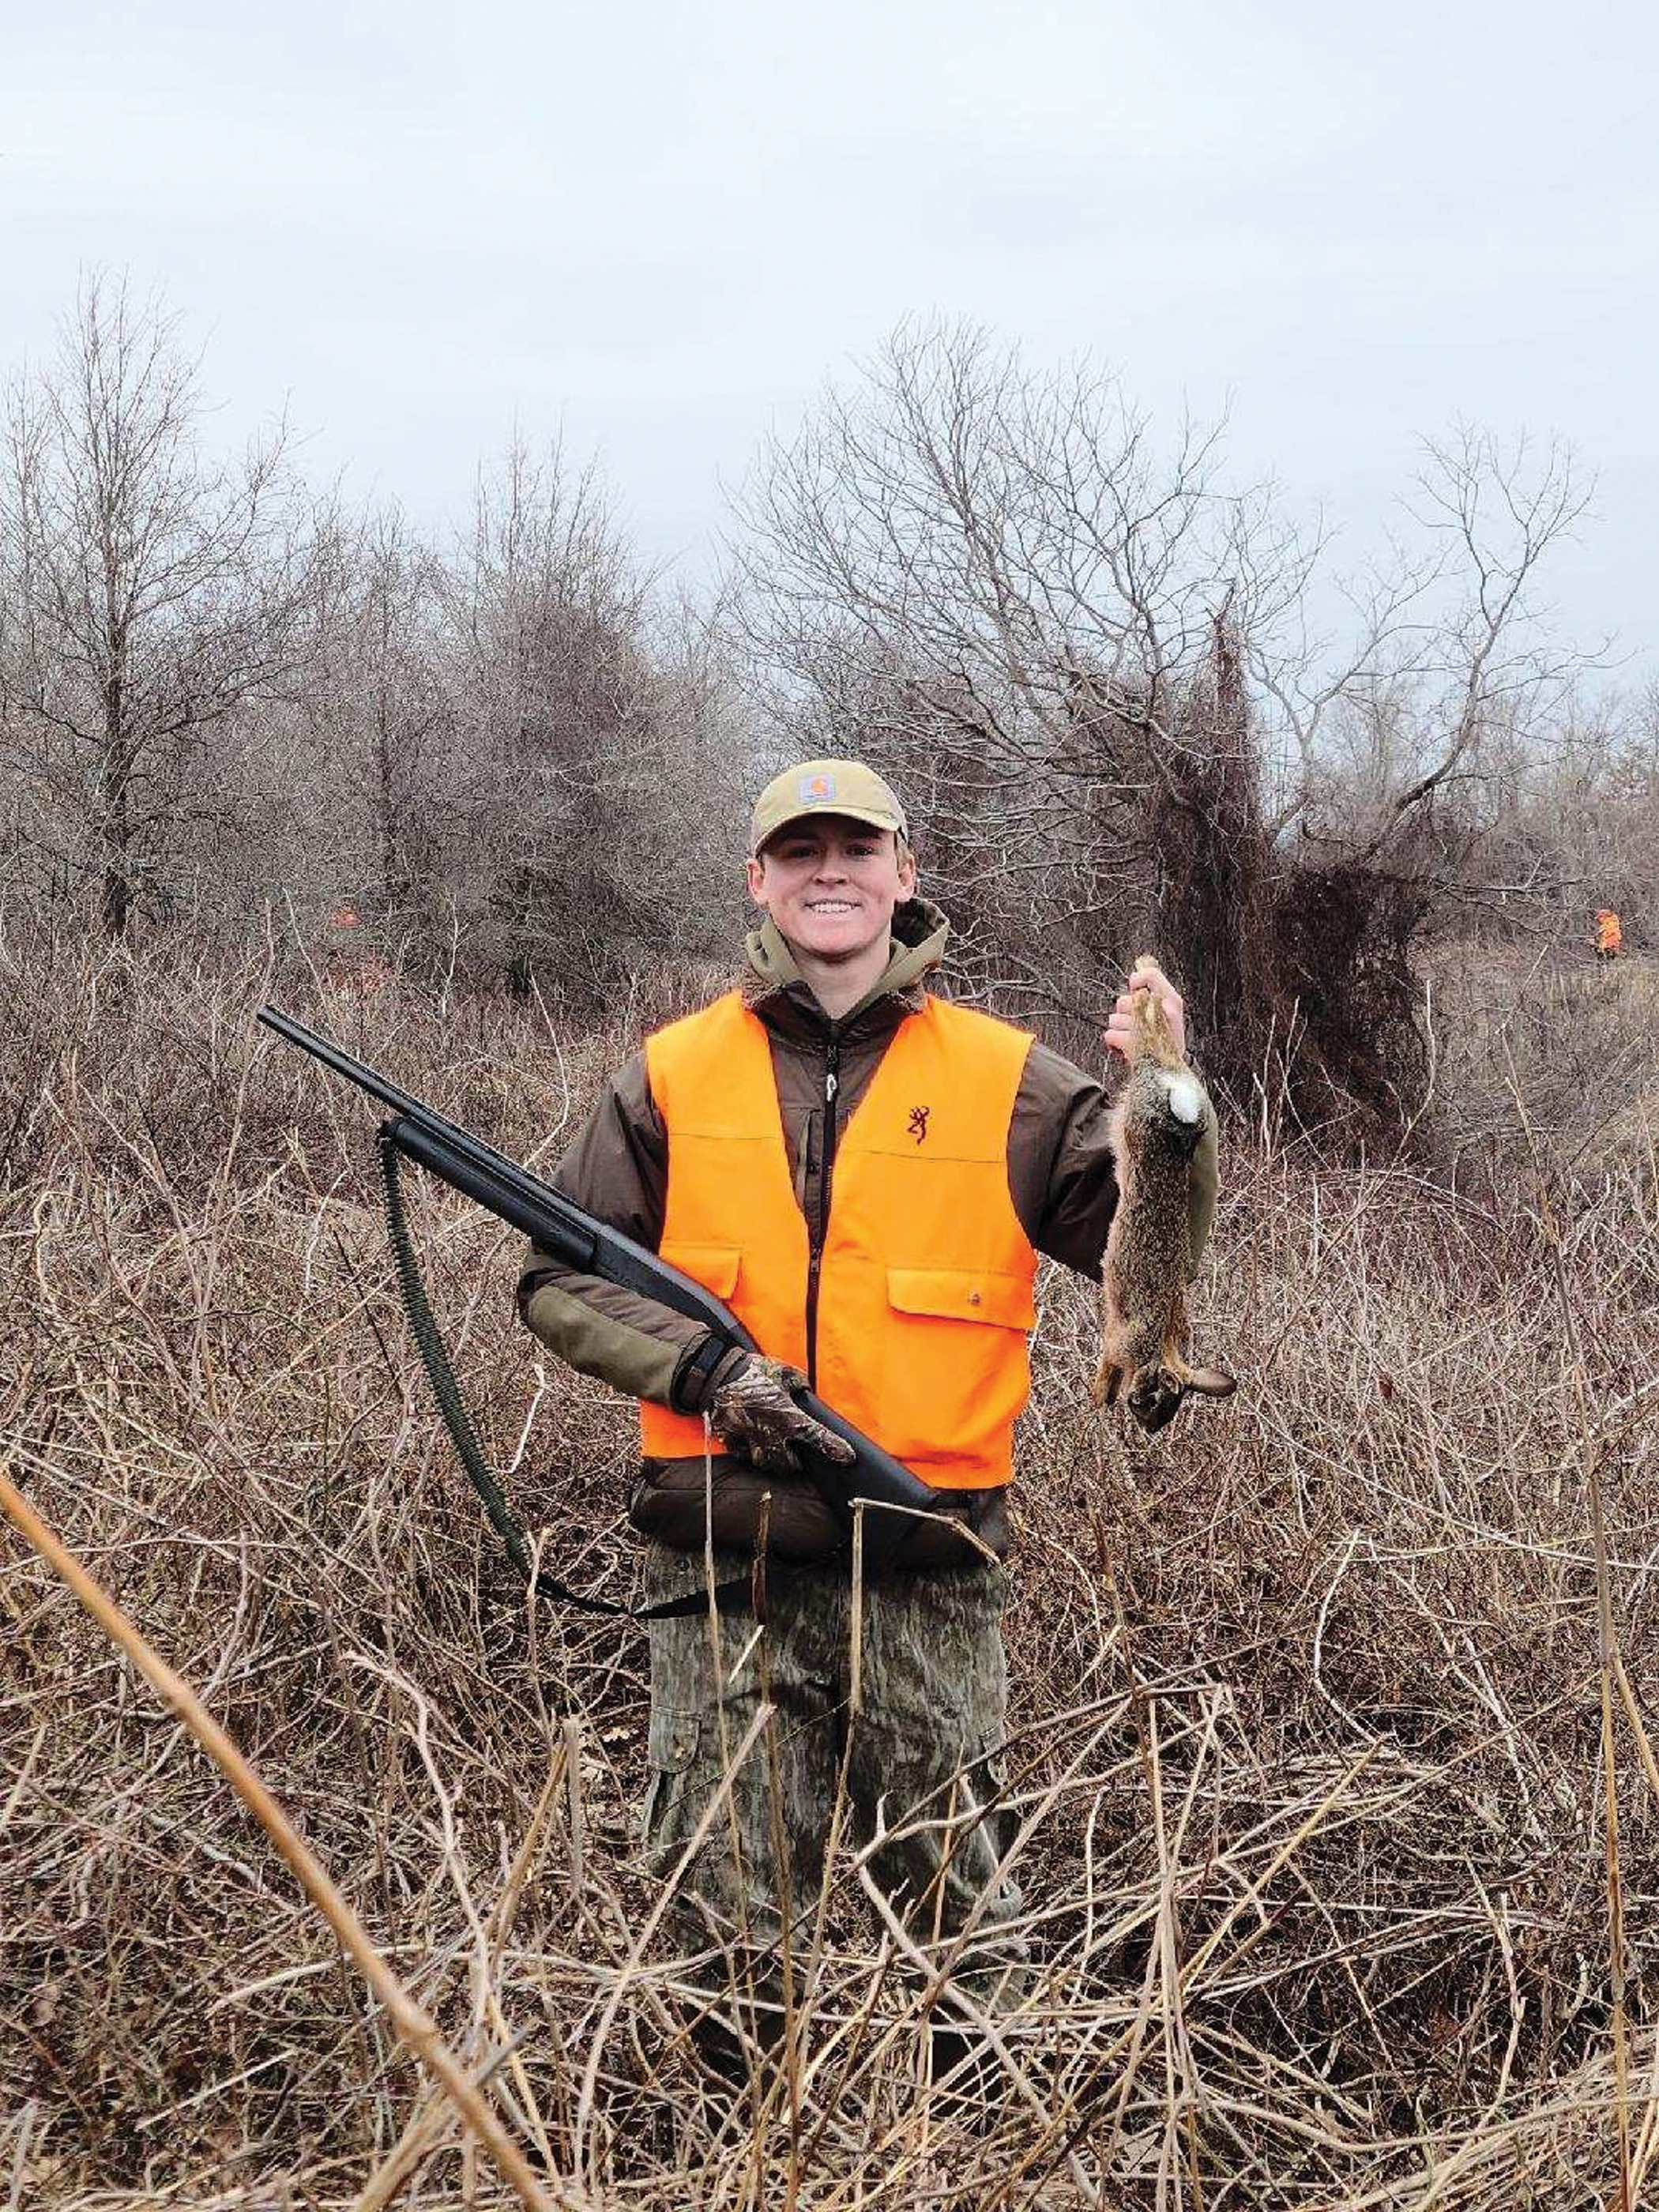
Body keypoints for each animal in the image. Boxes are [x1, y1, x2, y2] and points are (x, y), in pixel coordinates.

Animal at [1090, 958, 1236, 1435]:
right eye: (1155, 1400)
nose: (1150, 1427)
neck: (1163, 1349)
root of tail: (1182, 1096)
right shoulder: (1121, 1340)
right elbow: (1110, 1362)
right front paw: (1100, 1396)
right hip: (1140, 1106)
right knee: (1146, 1024)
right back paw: (1144, 977)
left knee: (1156, 1032)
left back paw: (1147, 971)